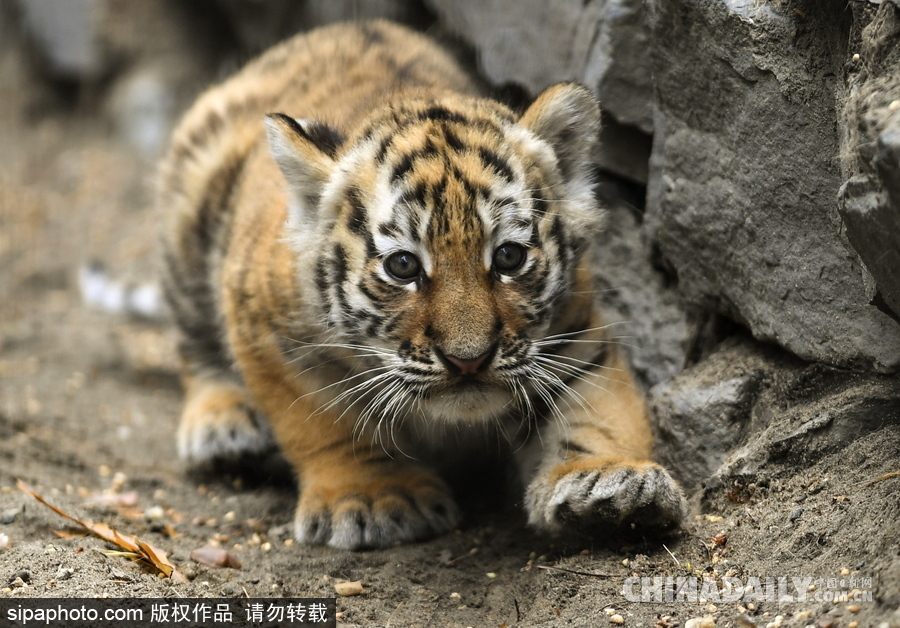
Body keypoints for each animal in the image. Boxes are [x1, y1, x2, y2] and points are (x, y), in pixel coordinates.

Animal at [158, 19, 687, 550]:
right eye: (403, 267)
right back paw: (225, 426)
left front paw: (607, 481)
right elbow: (329, 420)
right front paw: (375, 497)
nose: (469, 361)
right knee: (193, 343)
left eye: (509, 257)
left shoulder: (573, 332)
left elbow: (595, 407)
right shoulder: (267, 329)